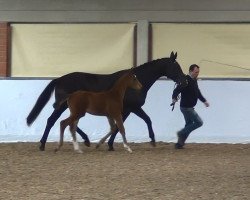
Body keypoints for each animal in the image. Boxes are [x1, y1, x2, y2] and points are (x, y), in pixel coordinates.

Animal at [27, 51, 188, 150]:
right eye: (175, 67)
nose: (184, 81)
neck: (131, 84)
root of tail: (60, 79)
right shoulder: (131, 108)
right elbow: (125, 125)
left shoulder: (129, 109)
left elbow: (128, 124)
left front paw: (110, 144)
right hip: (64, 106)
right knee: (53, 120)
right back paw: (43, 144)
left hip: (69, 107)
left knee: (67, 122)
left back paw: (85, 140)